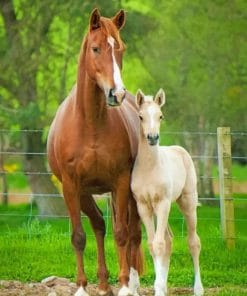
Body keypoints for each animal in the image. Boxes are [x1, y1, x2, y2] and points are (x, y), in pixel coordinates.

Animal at [47, 8, 142, 296]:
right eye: (96, 48)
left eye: (121, 48)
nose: (116, 94)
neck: (90, 124)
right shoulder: (70, 185)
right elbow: (79, 236)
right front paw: (81, 287)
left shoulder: (121, 182)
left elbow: (122, 234)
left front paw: (125, 286)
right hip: (85, 193)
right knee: (99, 224)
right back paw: (102, 284)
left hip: (130, 193)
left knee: (134, 233)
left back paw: (132, 283)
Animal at [130, 89, 204, 296]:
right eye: (140, 116)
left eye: (160, 116)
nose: (152, 137)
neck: (149, 168)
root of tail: (180, 150)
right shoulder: (144, 206)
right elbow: (153, 244)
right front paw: (160, 287)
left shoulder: (162, 203)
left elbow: (159, 244)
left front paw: (159, 288)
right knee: (169, 240)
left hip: (187, 203)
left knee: (193, 242)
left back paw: (198, 289)